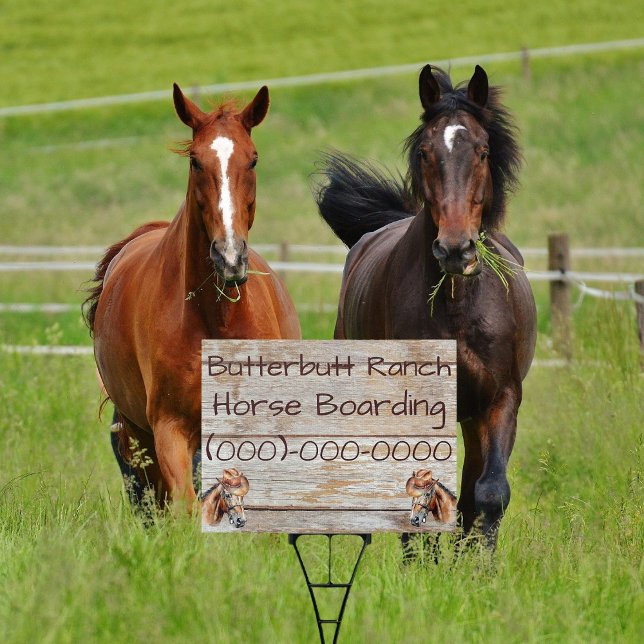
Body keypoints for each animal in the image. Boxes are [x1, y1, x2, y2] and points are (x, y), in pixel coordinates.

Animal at [84, 84, 301, 512]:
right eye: (196, 161)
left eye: (253, 159)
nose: (230, 257)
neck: (217, 322)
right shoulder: (170, 429)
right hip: (141, 435)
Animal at [315, 65, 537, 547]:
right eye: (424, 151)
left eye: (483, 150)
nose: (455, 249)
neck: (458, 309)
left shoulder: (500, 399)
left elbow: (489, 492)